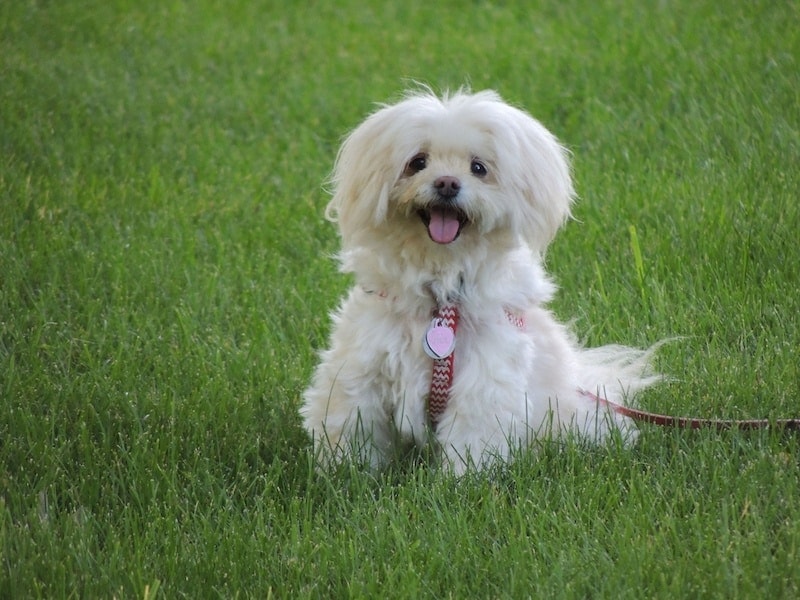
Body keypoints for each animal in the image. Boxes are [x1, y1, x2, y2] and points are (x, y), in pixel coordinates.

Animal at [300, 89, 656, 474]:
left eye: (478, 168)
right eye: (417, 162)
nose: (446, 183)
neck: (441, 296)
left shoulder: (485, 380)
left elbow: (472, 437)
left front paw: (461, 480)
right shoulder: (362, 367)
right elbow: (351, 422)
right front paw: (344, 470)